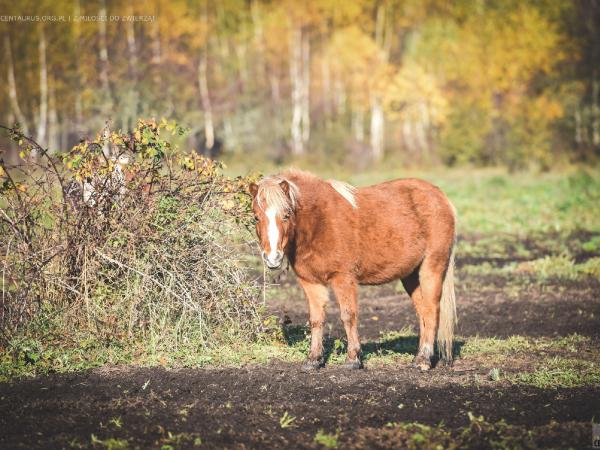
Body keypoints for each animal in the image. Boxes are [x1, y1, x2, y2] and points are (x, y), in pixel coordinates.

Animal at [248, 169, 454, 370]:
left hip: (432, 267)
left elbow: (348, 316)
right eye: (256, 217)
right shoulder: (310, 282)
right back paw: (418, 357)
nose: (272, 257)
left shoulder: (343, 279)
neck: (319, 222)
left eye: (286, 214)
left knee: (431, 310)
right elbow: (316, 319)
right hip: (411, 276)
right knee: (422, 312)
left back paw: (424, 360)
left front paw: (353, 359)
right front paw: (313, 359)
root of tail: (441, 197)